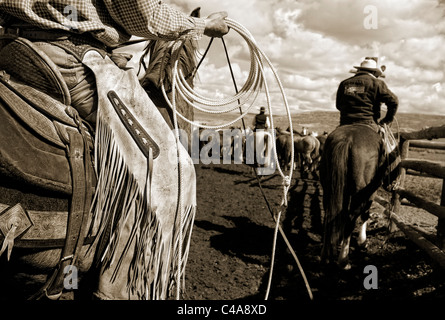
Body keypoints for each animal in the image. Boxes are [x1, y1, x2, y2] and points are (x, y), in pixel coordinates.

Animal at [320, 125, 386, 270]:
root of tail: (347, 140)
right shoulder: (371, 192)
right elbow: (365, 214)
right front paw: (362, 241)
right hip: (361, 192)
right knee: (351, 218)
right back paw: (344, 260)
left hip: (329, 187)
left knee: (330, 215)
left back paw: (326, 255)